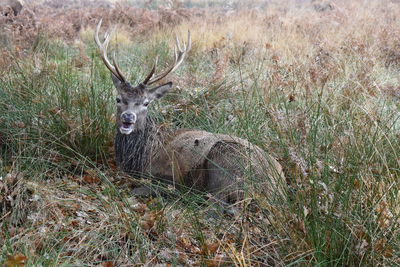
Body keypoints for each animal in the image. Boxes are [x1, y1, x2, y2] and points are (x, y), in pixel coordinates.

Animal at [95, 19, 286, 210]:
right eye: (118, 99)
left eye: (146, 102)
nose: (128, 117)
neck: (143, 155)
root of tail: (277, 183)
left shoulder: (166, 175)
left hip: (227, 163)